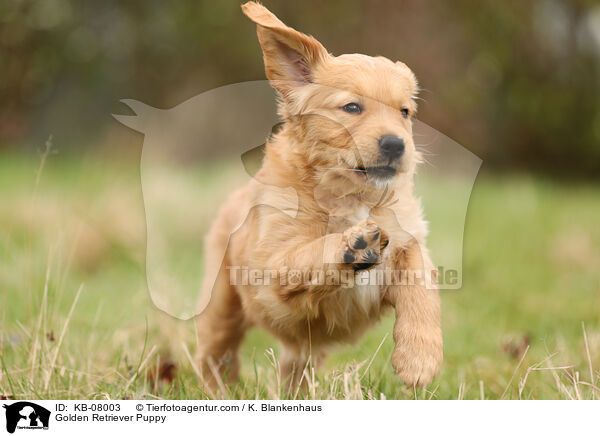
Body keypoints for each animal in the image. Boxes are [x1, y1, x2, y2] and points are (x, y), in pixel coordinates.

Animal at [195, 1, 442, 390]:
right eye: (352, 107)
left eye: (405, 113)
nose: (395, 144)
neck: (353, 196)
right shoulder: (274, 265)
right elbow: (311, 251)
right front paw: (354, 244)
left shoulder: (408, 236)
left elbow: (420, 279)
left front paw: (420, 358)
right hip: (221, 301)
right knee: (215, 348)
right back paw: (216, 389)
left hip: (303, 351)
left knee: (294, 365)